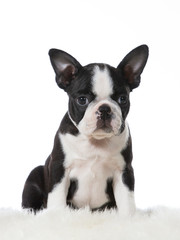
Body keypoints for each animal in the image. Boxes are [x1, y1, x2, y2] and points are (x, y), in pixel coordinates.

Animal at [22, 45, 149, 216]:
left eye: (122, 99)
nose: (105, 109)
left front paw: (129, 217)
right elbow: (57, 196)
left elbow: (126, 200)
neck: (95, 140)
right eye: (82, 100)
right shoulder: (59, 167)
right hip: (34, 175)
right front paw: (57, 216)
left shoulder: (124, 170)